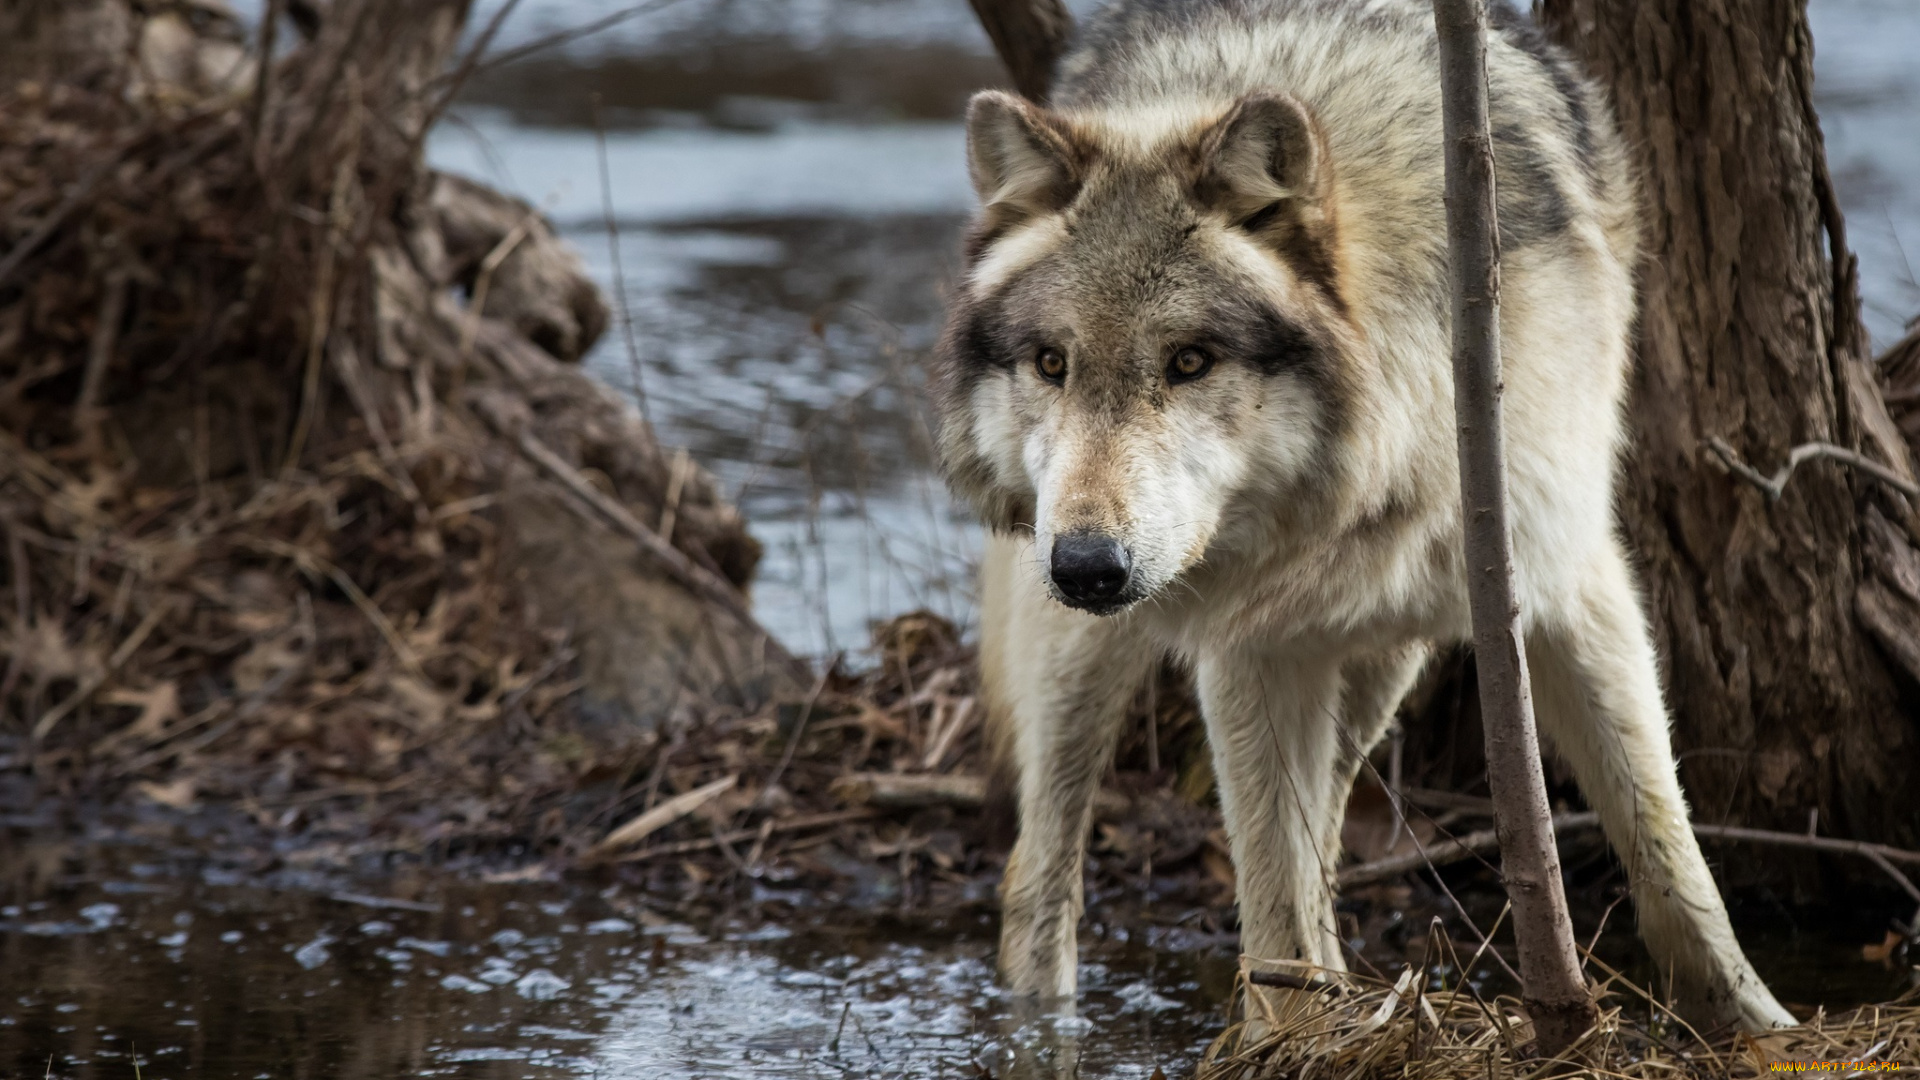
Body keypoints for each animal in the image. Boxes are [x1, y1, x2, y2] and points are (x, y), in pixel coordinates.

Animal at [936, 0, 1789, 1030]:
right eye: (1052, 364)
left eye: (1190, 361)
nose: (1087, 566)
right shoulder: (1250, 645)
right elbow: (1271, 900)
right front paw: (1292, 1037)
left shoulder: (1569, 584)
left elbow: (1671, 857)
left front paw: (1761, 1029)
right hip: (1087, 654)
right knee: (1039, 874)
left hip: (1382, 663)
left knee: (1329, 823)